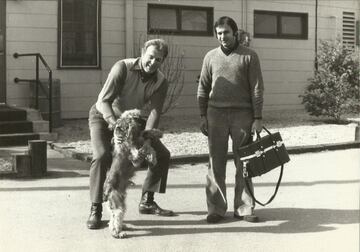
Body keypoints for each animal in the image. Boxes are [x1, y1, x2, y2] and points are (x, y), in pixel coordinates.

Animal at [102, 110, 162, 238]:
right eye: (135, 117)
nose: (145, 119)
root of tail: (106, 190)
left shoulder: (139, 140)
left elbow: (146, 138)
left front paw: (157, 133)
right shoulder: (135, 158)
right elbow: (145, 147)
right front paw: (151, 156)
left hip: (120, 203)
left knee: (113, 219)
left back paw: (122, 227)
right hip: (117, 203)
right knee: (116, 217)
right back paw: (118, 233)